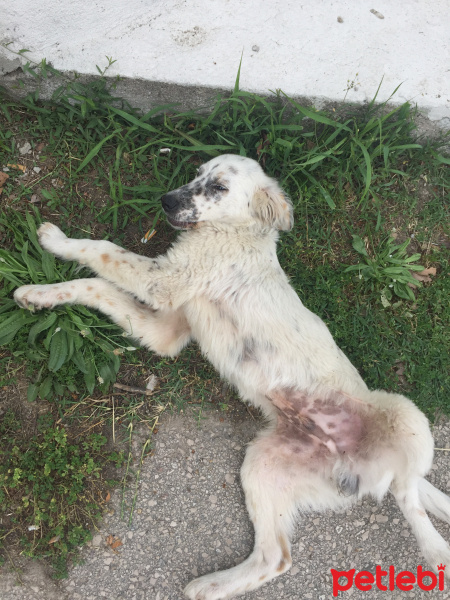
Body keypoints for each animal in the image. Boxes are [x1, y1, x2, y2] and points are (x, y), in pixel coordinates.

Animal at [14, 156, 450, 600]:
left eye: (219, 187)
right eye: (196, 175)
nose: (166, 200)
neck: (232, 231)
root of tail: (357, 463)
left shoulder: (165, 281)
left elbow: (102, 249)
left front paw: (56, 241)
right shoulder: (167, 330)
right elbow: (97, 287)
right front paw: (38, 294)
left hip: (407, 416)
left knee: (408, 496)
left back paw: (435, 550)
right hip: (262, 466)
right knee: (276, 558)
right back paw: (207, 586)